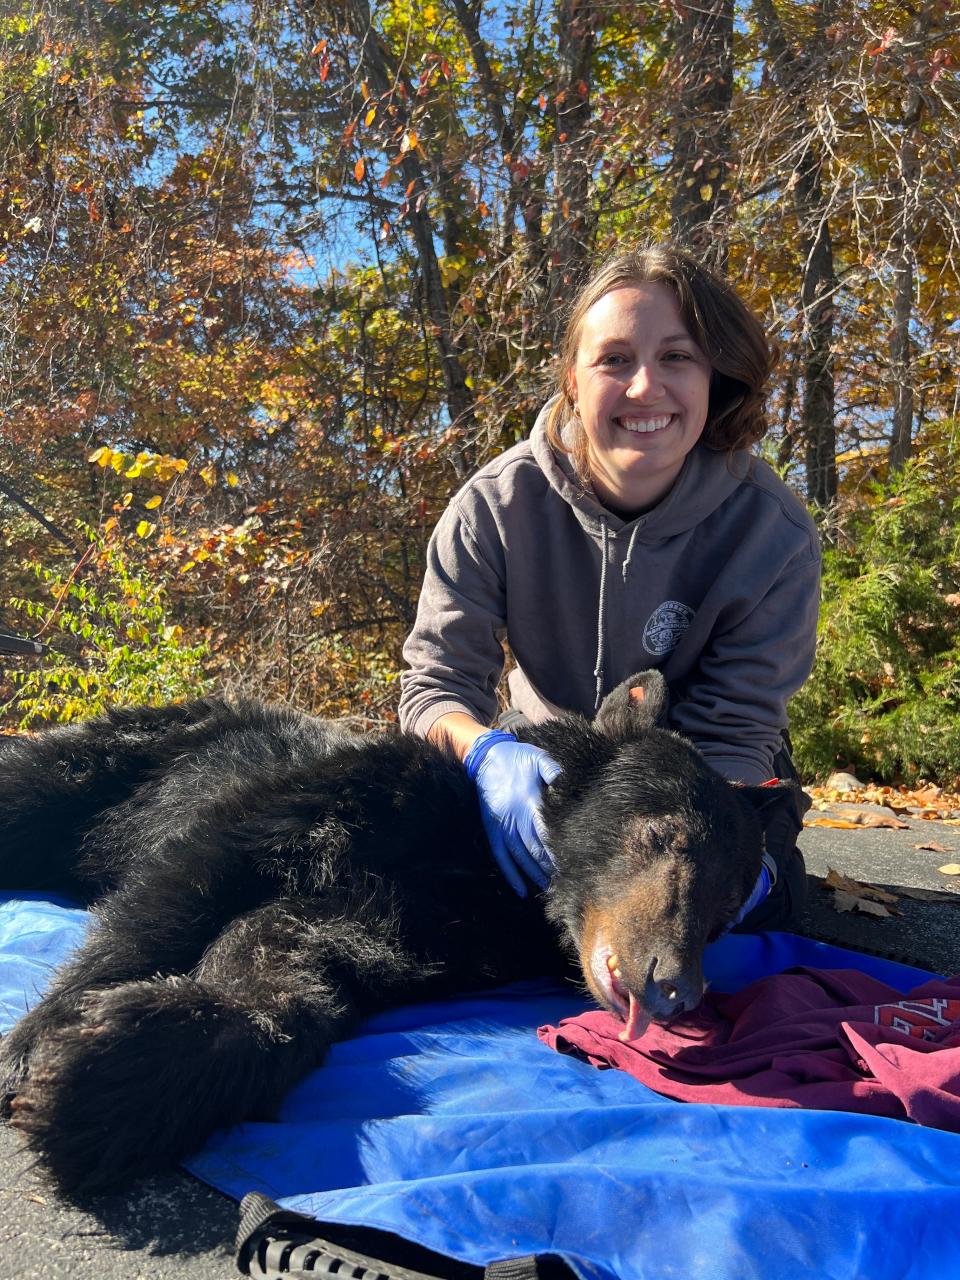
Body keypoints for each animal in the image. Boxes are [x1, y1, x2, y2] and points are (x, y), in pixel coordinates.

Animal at [0, 675, 788, 1192]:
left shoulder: (424, 928)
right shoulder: (326, 798)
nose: (673, 988)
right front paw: (41, 1041)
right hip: (126, 756)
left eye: (725, 910)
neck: (496, 877)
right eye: (665, 835)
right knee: (36, 785)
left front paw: (109, 1076)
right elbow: (184, 886)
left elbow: (292, 968)